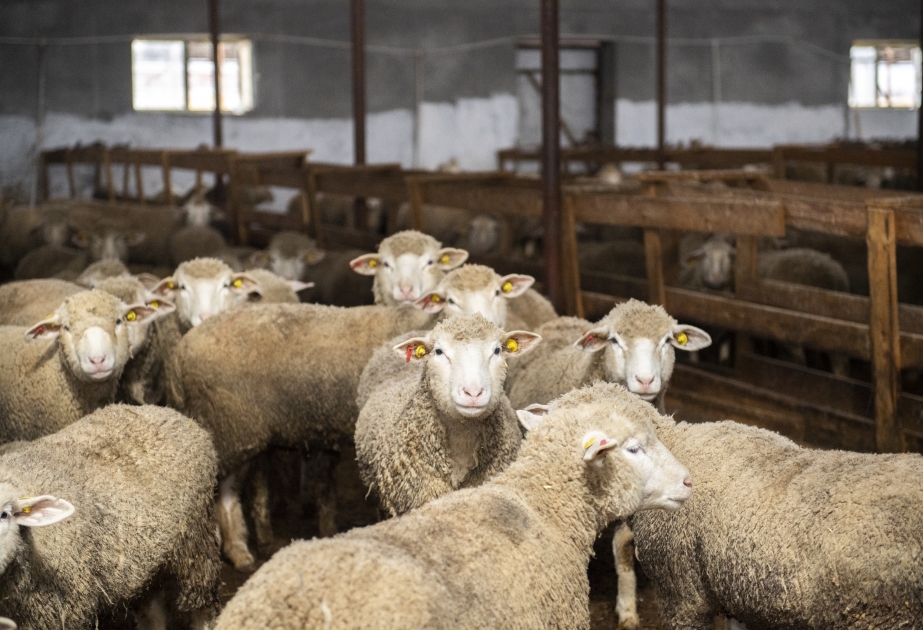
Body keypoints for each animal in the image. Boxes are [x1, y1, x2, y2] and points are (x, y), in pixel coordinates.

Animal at [0, 404, 221, 630]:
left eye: (4, 514)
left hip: (195, 545)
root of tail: (168, 411)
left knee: (200, 606)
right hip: (146, 568)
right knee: (151, 613)